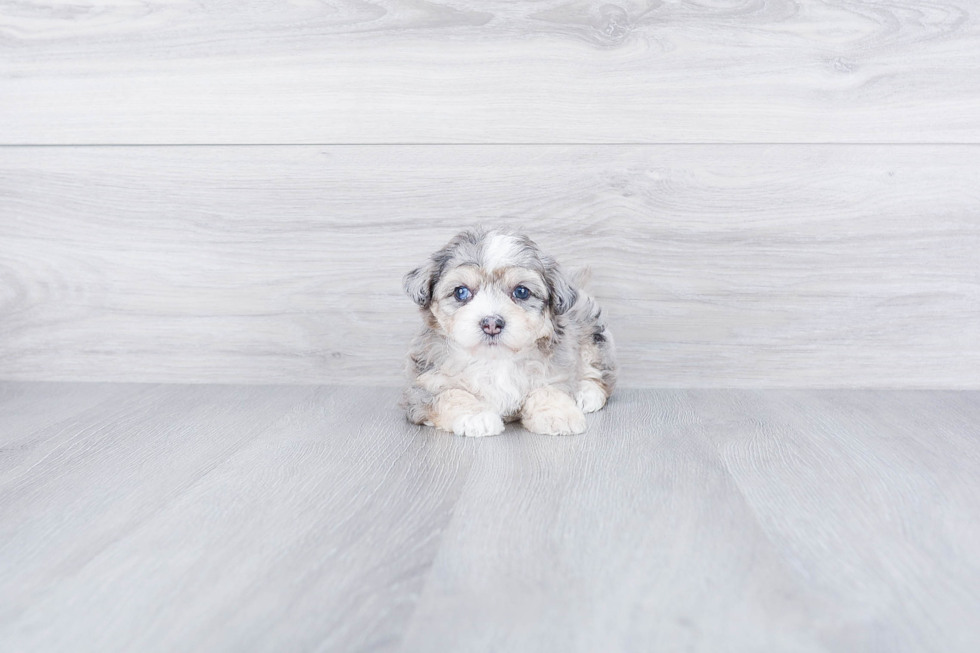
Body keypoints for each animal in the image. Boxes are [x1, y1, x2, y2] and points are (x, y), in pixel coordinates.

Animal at [398, 229, 612, 438]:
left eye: (521, 292)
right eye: (461, 292)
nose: (492, 323)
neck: (495, 359)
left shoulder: (555, 369)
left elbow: (549, 389)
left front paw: (558, 413)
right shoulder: (423, 385)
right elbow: (451, 394)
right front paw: (476, 417)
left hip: (591, 337)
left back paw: (587, 393)